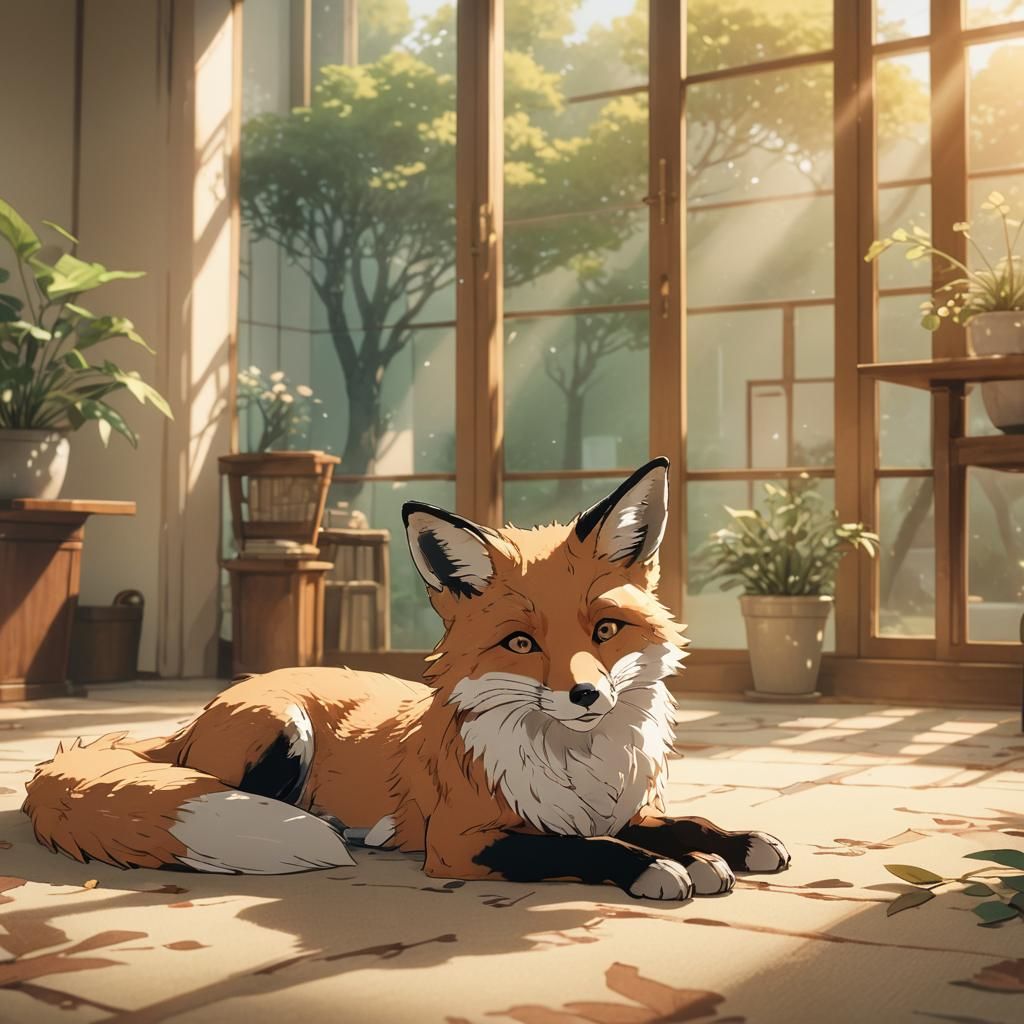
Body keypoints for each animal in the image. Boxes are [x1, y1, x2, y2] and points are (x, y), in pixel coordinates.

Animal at [23, 458, 789, 901]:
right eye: (521, 643)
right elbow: (581, 846)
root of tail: (198, 712)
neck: (578, 765)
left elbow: (683, 822)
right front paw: (660, 868)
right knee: (244, 800)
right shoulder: (464, 840)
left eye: (604, 632)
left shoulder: (621, 805)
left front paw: (731, 844)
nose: (586, 697)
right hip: (284, 729)